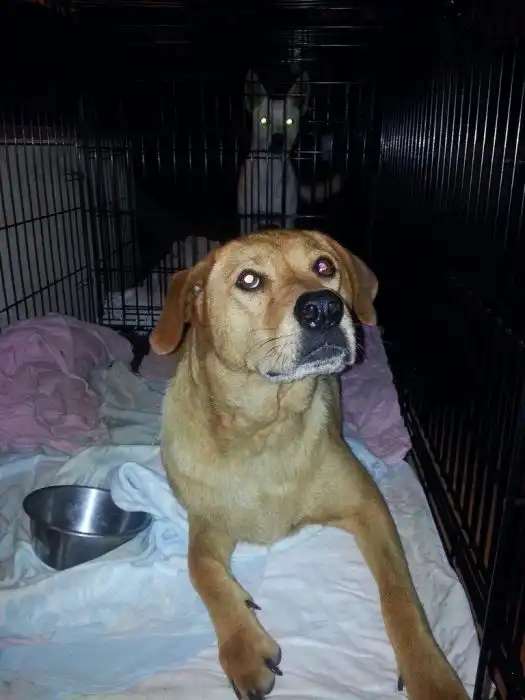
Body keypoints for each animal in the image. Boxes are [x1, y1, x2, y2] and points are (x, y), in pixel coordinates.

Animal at [149, 229, 469, 700]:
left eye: (324, 266)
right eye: (248, 279)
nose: (323, 308)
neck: (265, 432)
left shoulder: (368, 506)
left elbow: (400, 595)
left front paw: (429, 673)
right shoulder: (208, 524)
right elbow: (200, 569)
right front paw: (243, 645)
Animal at [237, 71, 342, 235]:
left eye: (289, 122)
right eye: (264, 121)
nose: (278, 138)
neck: (271, 172)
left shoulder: (287, 220)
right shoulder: (246, 219)